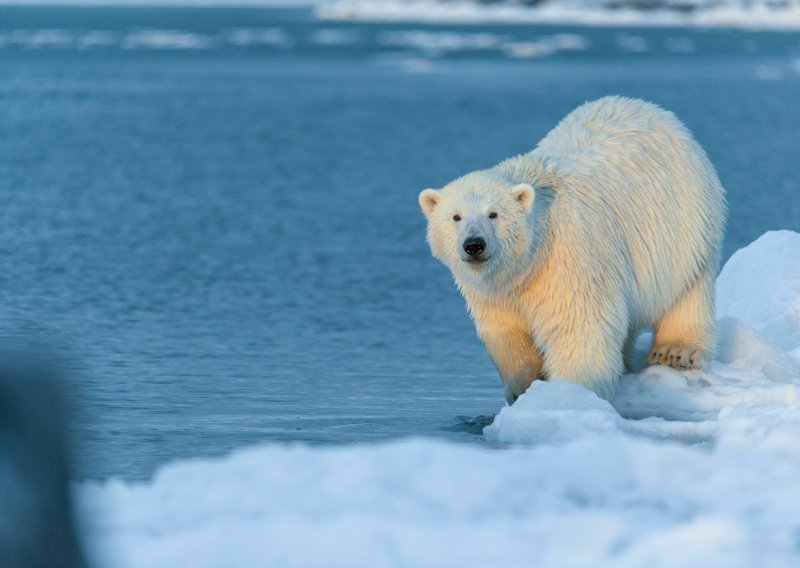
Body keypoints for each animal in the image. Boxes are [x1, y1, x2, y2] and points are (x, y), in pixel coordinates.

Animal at [422, 95, 728, 402]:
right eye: (456, 217)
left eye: (493, 214)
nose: (474, 245)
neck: (529, 261)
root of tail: (651, 109)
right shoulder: (494, 292)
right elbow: (506, 333)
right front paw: (522, 388)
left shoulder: (568, 261)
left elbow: (579, 329)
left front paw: (571, 392)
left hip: (686, 230)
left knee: (687, 293)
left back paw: (675, 352)